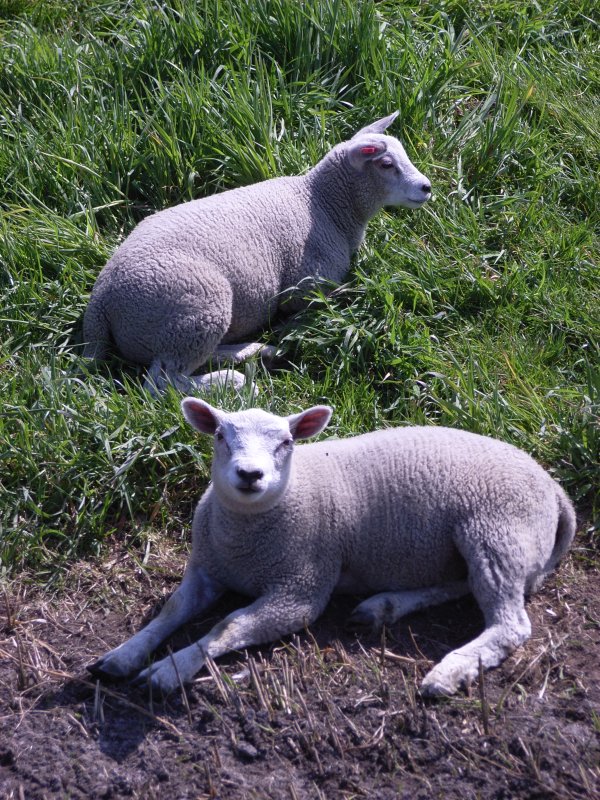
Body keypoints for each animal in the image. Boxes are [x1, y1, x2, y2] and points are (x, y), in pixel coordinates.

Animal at [83, 112, 432, 394]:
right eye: (386, 164)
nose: (427, 187)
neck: (323, 203)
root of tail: (101, 299)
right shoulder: (308, 287)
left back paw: (252, 350)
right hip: (194, 306)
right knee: (161, 384)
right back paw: (231, 381)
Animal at [86, 398, 576, 692]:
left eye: (286, 442)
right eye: (221, 435)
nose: (250, 475)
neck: (247, 535)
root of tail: (556, 491)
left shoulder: (300, 588)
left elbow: (228, 626)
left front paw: (170, 669)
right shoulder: (206, 568)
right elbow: (171, 610)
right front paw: (125, 654)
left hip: (496, 531)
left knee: (510, 624)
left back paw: (449, 671)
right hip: (480, 545)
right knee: (459, 585)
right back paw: (382, 607)